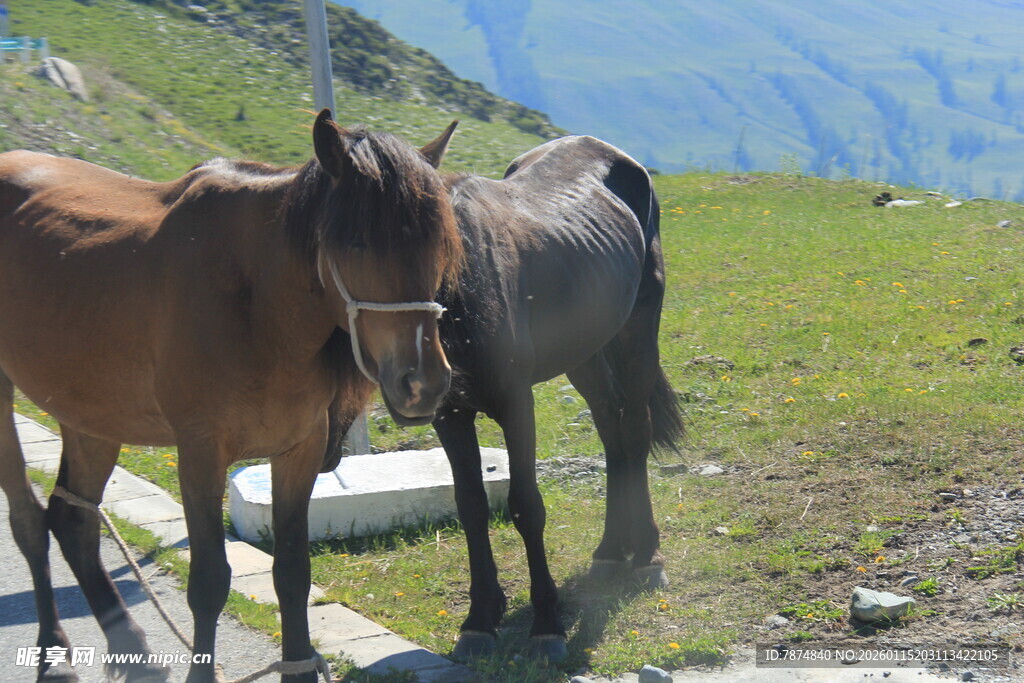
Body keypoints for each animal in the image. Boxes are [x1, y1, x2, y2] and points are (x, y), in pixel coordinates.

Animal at [0, 109, 462, 682]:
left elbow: (292, 574)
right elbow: (208, 583)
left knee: (73, 521)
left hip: (91, 411)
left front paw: (299, 667)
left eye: (438, 243)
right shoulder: (201, 452)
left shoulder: (299, 450)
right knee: (28, 522)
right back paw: (56, 657)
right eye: (357, 243)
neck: (258, 310)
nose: (423, 382)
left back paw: (134, 650)